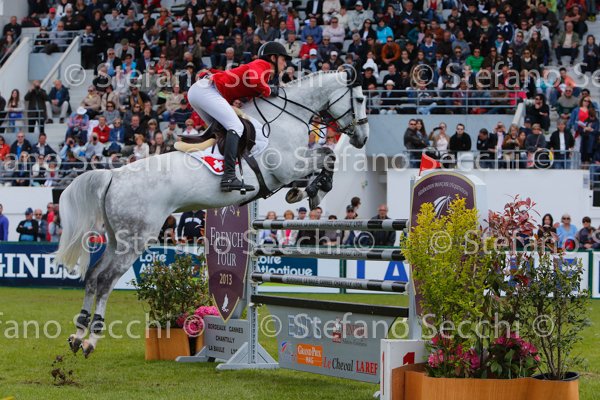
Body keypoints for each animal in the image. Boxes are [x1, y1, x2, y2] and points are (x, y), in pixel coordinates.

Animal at [54, 68, 370, 357]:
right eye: (361, 98)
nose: (362, 138)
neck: (287, 114)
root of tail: (114, 176)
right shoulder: (287, 167)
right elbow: (328, 154)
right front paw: (315, 190)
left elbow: (324, 156)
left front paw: (306, 191)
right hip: (135, 239)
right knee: (105, 280)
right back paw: (91, 339)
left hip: (116, 238)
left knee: (93, 276)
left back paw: (78, 335)